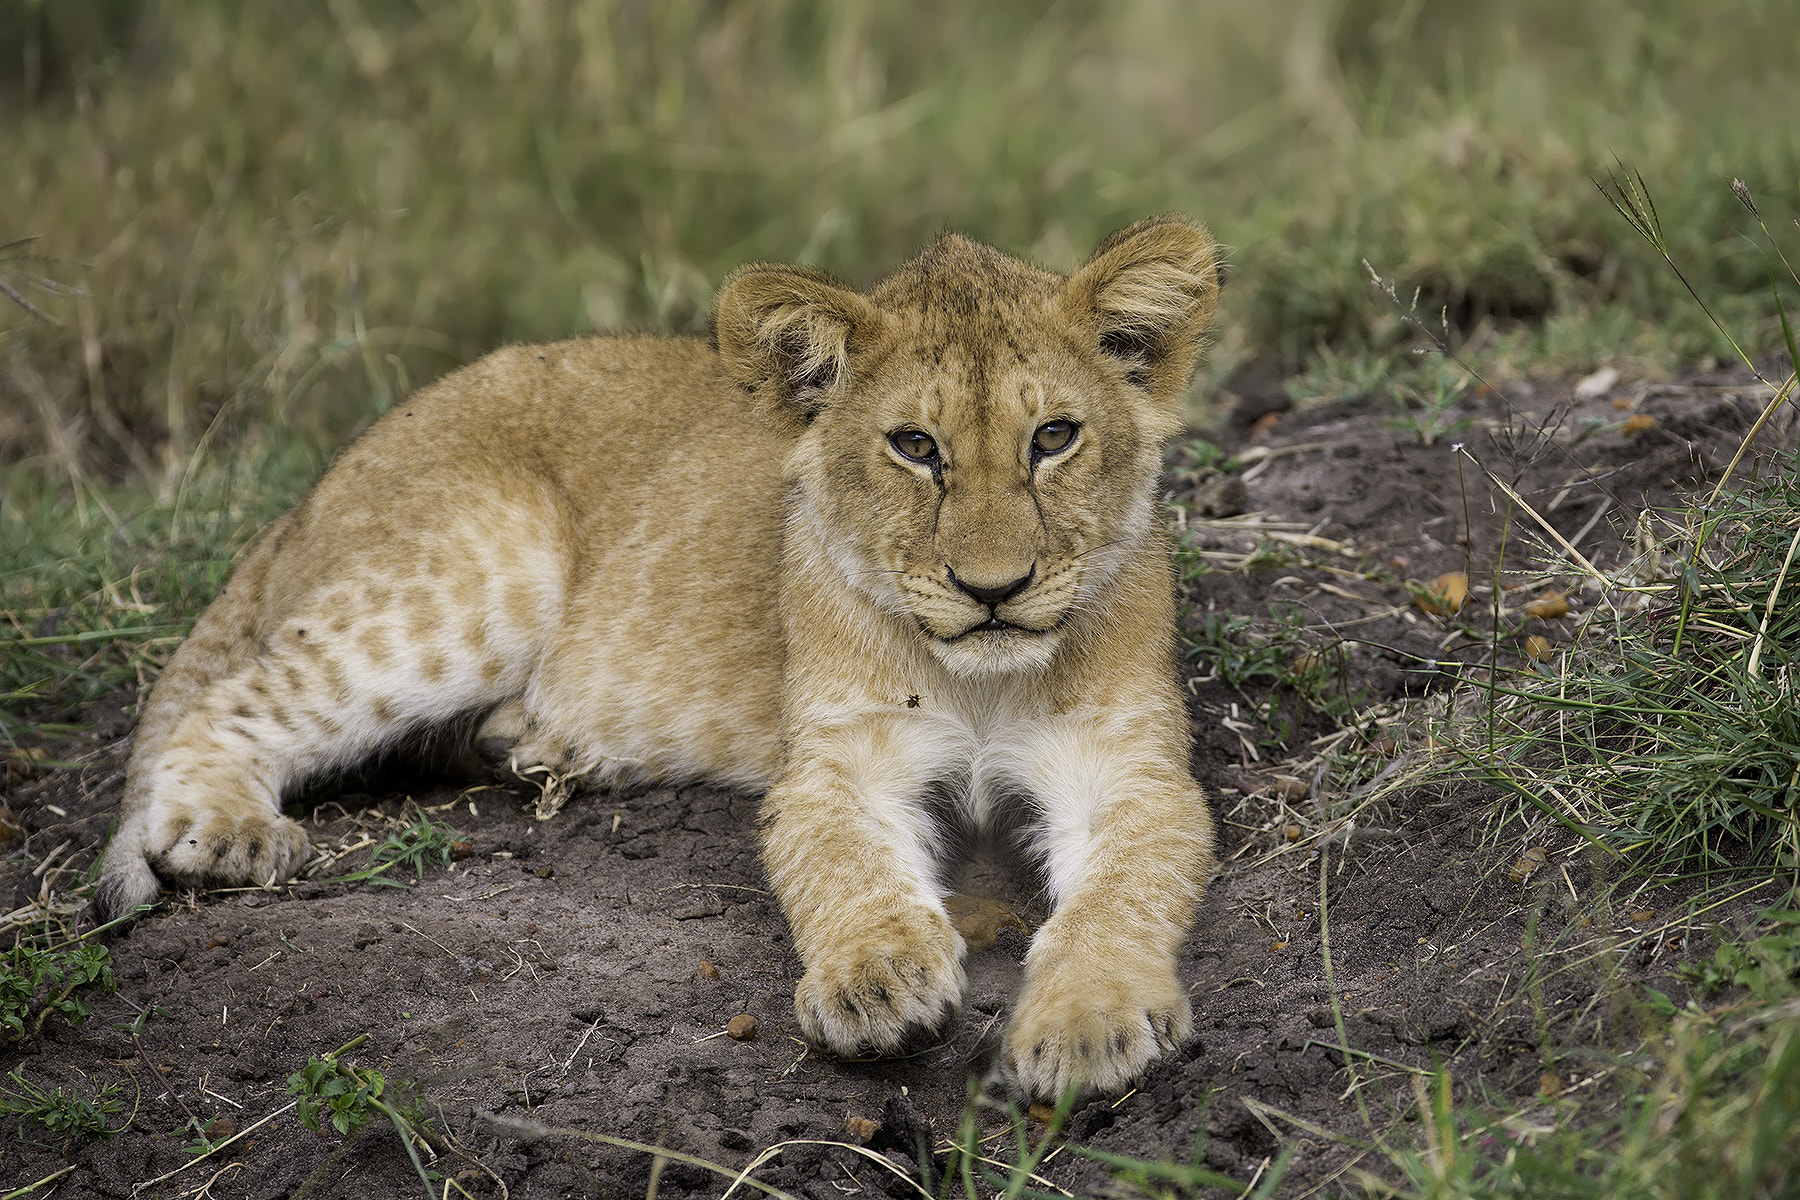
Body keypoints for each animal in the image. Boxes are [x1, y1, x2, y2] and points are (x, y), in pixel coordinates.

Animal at [94, 216, 1221, 1098]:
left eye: (1054, 438)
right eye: (914, 447)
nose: (995, 589)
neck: (979, 681)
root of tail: (323, 480)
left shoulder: (1130, 770)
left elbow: (1123, 895)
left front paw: (1086, 1025)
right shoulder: (835, 765)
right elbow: (846, 868)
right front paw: (878, 981)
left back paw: (535, 748)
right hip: (472, 577)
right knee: (221, 704)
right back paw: (230, 832)